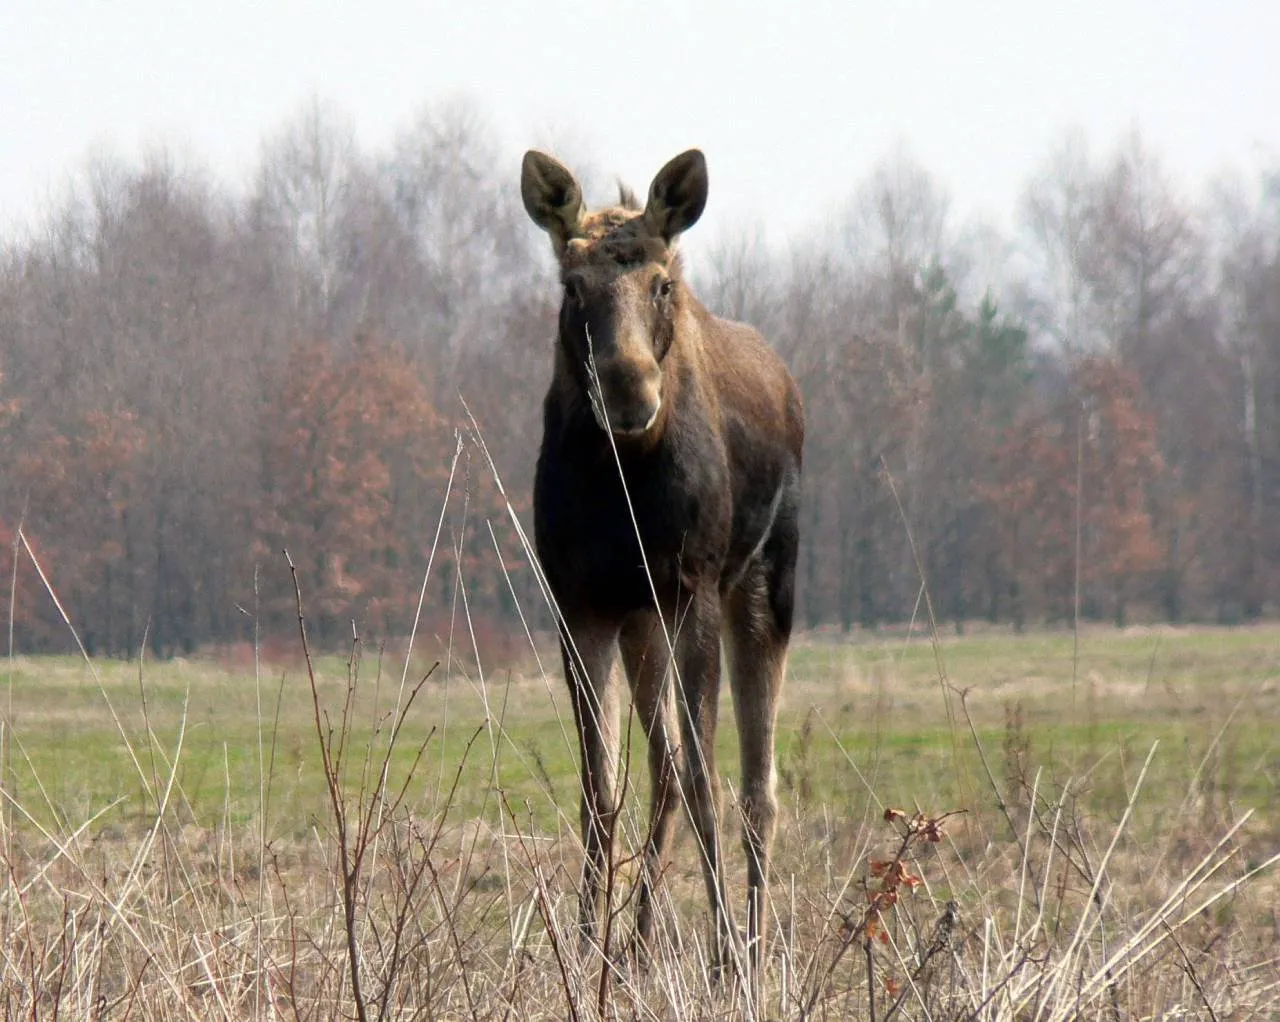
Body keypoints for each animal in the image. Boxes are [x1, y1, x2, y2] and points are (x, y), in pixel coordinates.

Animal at [517, 147, 798, 978]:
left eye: (661, 283)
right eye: (571, 286)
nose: (628, 389)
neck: (621, 488)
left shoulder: (692, 588)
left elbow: (710, 779)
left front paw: (725, 951)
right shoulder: (580, 602)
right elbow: (600, 785)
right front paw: (586, 949)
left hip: (765, 585)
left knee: (757, 786)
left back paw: (753, 941)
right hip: (643, 621)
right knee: (664, 766)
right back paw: (637, 942)